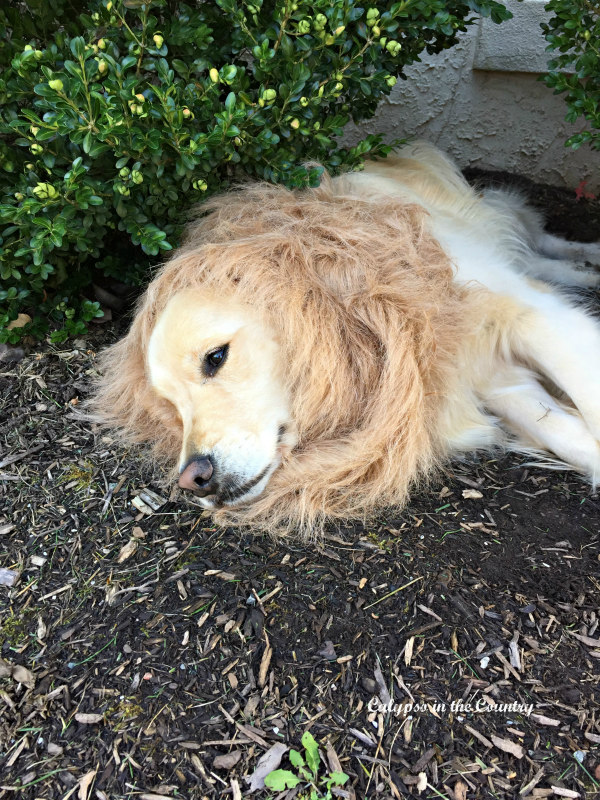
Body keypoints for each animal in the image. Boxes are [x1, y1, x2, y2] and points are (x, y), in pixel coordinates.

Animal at [91, 142, 600, 532]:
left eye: (216, 357)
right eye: (173, 406)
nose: (192, 480)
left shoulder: (528, 316)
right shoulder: (489, 373)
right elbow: (570, 435)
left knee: (543, 243)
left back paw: (588, 257)